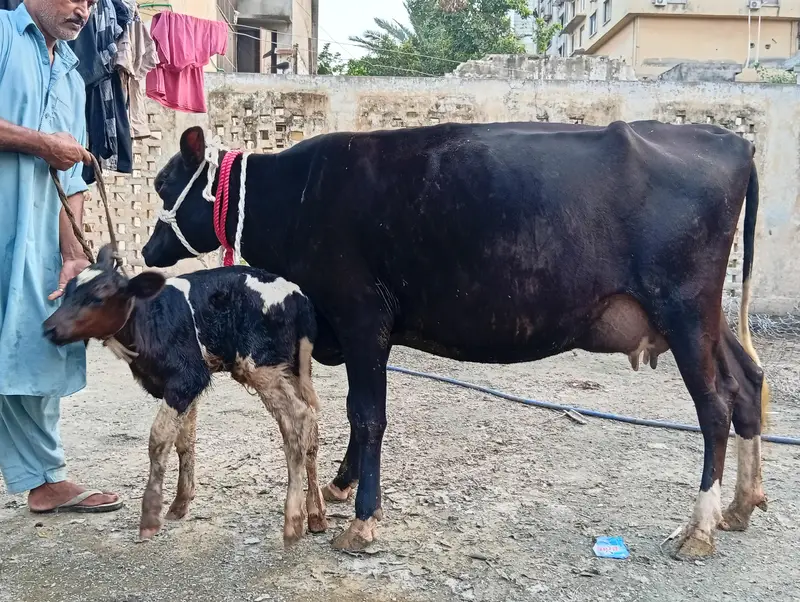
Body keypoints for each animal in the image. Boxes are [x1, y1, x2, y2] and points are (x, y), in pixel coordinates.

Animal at [43, 244, 328, 546]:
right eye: (67, 290)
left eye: (98, 297)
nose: (48, 328)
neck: (147, 320)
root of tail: (299, 297)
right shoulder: (185, 387)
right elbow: (184, 440)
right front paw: (180, 503)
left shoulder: (187, 378)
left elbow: (158, 440)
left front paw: (150, 516)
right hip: (293, 368)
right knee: (310, 426)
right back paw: (316, 514)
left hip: (261, 366)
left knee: (299, 422)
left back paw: (293, 521)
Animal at [141, 119, 769, 559]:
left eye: (165, 183)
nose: (147, 251)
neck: (297, 197)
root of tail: (732, 142)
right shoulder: (355, 330)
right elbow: (355, 412)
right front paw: (343, 486)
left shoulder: (361, 316)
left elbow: (368, 414)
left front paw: (363, 520)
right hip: (700, 317)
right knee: (747, 384)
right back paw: (741, 506)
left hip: (684, 309)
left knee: (714, 407)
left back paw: (699, 528)